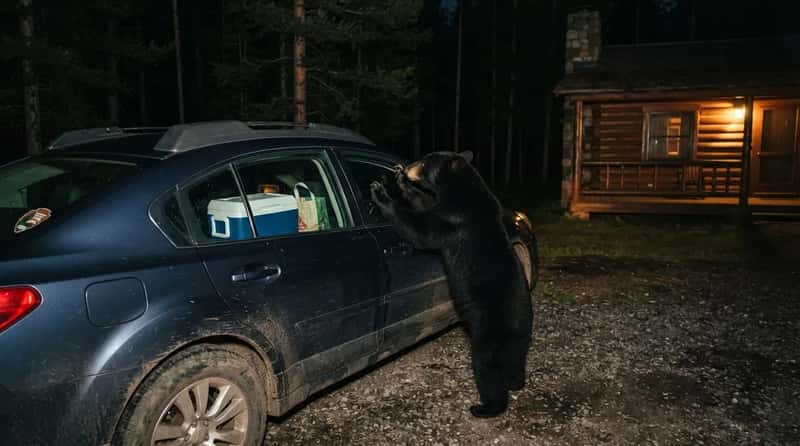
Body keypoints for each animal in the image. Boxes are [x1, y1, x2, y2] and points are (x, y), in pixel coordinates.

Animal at [370, 150, 533, 418]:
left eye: (423, 162)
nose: (406, 167)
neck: (462, 190)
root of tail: (521, 327)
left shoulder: (453, 219)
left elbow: (420, 230)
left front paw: (381, 191)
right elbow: (423, 203)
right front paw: (402, 184)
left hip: (489, 336)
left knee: (487, 370)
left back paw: (485, 408)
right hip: (518, 345)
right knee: (516, 363)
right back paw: (517, 383)